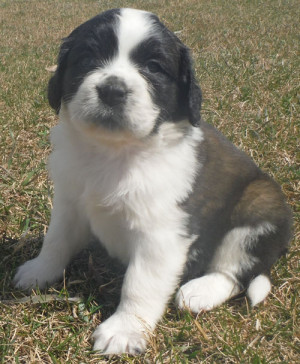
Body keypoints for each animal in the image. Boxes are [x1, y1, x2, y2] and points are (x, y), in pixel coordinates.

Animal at [13, 8, 290, 356]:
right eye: (88, 58)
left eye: (154, 67)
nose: (112, 90)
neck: (114, 151)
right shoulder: (70, 203)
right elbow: (57, 241)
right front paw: (38, 271)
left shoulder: (162, 235)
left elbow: (139, 283)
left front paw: (124, 329)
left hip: (258, 206)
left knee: (236, 271)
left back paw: (198, 292)